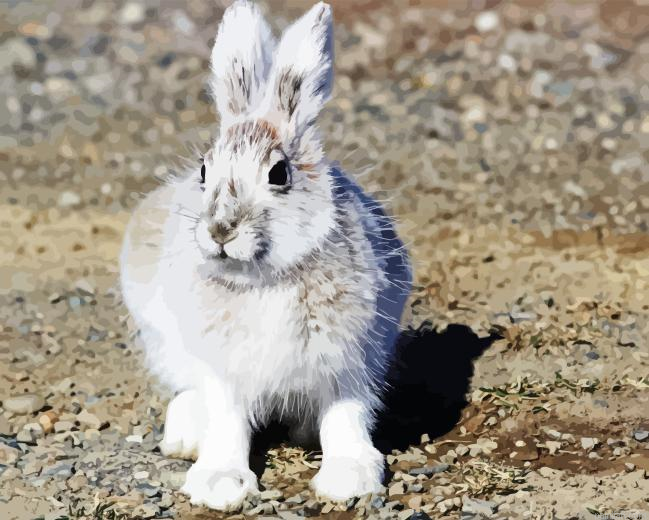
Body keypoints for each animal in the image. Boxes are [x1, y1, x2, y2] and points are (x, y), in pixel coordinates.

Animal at [120, 0, 411, 511]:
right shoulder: (224, 370)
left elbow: (345, 415)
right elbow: (227, 421)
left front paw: (349, 478)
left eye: (279, 173)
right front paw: (220, 484)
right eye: (203, 171)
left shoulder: (350, 361)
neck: (264, 275)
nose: (220, 229)